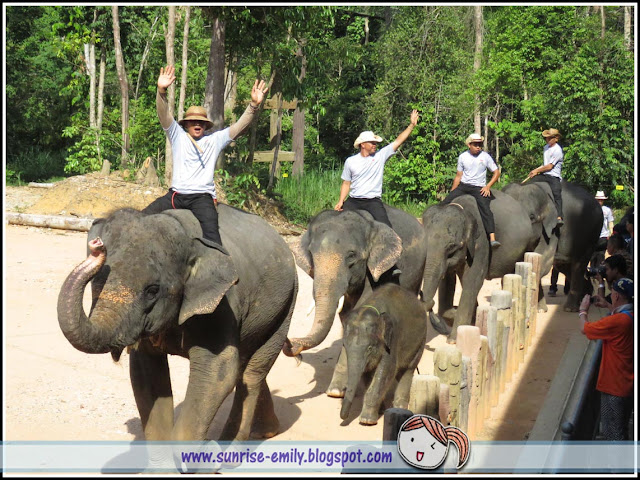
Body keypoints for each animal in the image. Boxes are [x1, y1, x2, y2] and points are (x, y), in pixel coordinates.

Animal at [57, 206, 298, 442]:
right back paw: (266, 432)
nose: (97, 245)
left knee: (252, 372)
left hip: (285, 306)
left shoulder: (221, 306)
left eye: (152, 290)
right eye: (97, 281)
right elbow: (146, 373)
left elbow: (217, 371)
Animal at [288, 206, 428, 398]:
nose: (291, 343)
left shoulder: (375, 272)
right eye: (312, 255)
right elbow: (347, 317)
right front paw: (335, 391)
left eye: (351, 256)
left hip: (418, 270)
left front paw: (337, 391)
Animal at [342, 284, 428, 426]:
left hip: (421, 341)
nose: (343, 417)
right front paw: (379, 412)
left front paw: (367, 421)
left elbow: (387, 370)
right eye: (344, 346)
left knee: (408, 370)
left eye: (370, 348)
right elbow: (368, 374)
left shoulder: (392, 339)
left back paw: (400, 407)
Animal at [420, 189, 536, 344]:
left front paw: (453, 339)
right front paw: (459, 315)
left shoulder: (482, 243)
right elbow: (447, 280)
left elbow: (473, 280)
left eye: (452, 247)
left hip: (528, 245)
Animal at [502, 180, 604, 312]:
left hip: (591, 234)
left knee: (578, 265)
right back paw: (585, 298)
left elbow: (543, 257)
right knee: (565, 266)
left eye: (532, 217)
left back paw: (571, 308)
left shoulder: (555, 227)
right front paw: (540, 309)